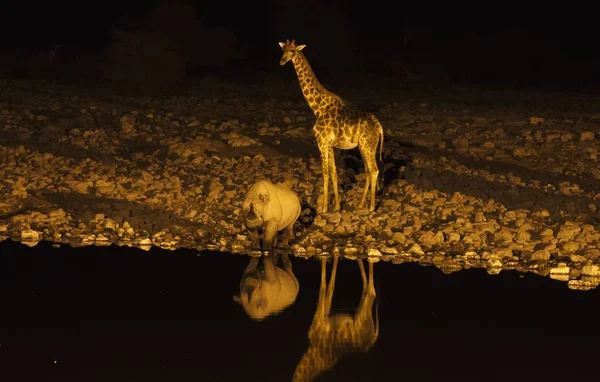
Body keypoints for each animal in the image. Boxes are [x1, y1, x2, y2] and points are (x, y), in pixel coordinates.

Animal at [280, 40, 384, 213]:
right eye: (283, 49)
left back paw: (370, 207)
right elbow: (334, 172)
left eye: (293, 51)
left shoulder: (321, 142)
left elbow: (325, 173)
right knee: (368, 170)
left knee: (374, 170)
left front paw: (323, 208)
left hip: (367, 146)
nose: (281, 61)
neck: (317, 107)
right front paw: (335, 206)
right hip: (364, 146)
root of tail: (380, 127)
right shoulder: (329, 144)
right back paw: (360, 204)